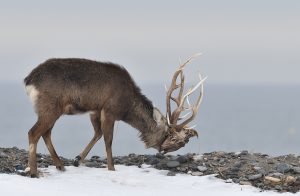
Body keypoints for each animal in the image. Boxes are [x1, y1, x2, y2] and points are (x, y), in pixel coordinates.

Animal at [24, 54, 206, 177]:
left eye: (182, 143)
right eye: (172, 137)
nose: (164, 150)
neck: (127, 108)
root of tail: (29, 80)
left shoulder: (96, 110)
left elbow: (97, 133)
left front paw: (77, 159)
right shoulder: (110, 110)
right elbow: (108, 140)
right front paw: (111, 168)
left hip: (53, 109)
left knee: (46, 133)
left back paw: (59, 165)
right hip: (50, 106)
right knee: (34, 132)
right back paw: (34, 172)